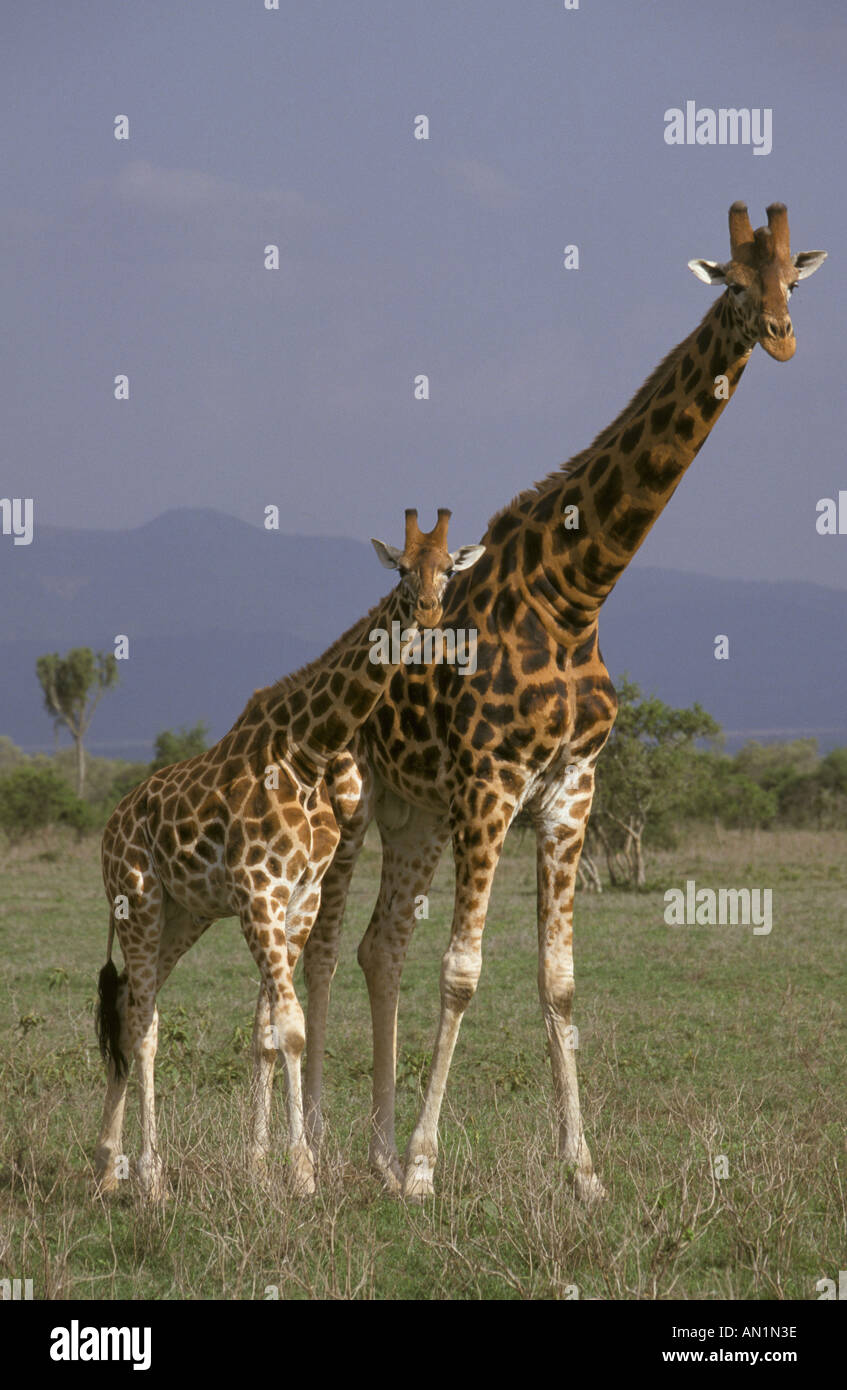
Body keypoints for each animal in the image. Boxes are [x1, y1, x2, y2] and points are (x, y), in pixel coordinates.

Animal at [92, 509, 484, 1199]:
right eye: (401, 571)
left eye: (447, 571)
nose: (429, 612)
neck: (309, 750)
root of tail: (109, 831)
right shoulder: (258, 891)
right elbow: (293, 1027)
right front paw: (301, 1174)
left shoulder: (298, 895)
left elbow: (274, 1030)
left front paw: (270, 1170)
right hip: (137, 903)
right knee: (144, 1026)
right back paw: (152, 1178)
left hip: (182, 916)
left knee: (133, 1010)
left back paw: (109, 1170)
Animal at [301, 202, 827, 1201]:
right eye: (733, 285)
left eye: (791, 279)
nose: (781, 337)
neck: (575, 595)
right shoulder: (491, 786)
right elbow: (463, 973)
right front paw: (426, 1170)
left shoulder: (569, 790)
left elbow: (558, 981)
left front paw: (581, 1172)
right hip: (349, 804)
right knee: (319, 946)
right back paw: (307, 1154)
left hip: (414, 814)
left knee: (378, 945)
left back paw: (373, 1154)